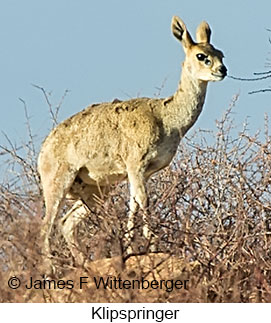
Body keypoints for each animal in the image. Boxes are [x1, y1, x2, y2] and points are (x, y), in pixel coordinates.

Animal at [37, 14, 227, 268]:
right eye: (201, 55)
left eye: (221, 53)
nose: (223, 70)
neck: (167, 120)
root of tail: (42, 151)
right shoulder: (135, 165)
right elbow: (144, 201)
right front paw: (151, 245)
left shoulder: (143, 172)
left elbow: (133, 205)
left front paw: (130, 248)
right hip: (58, 182)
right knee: (45, 226)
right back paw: (51, 270)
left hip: (95, 190)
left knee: (66, 223)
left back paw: (84, 263)